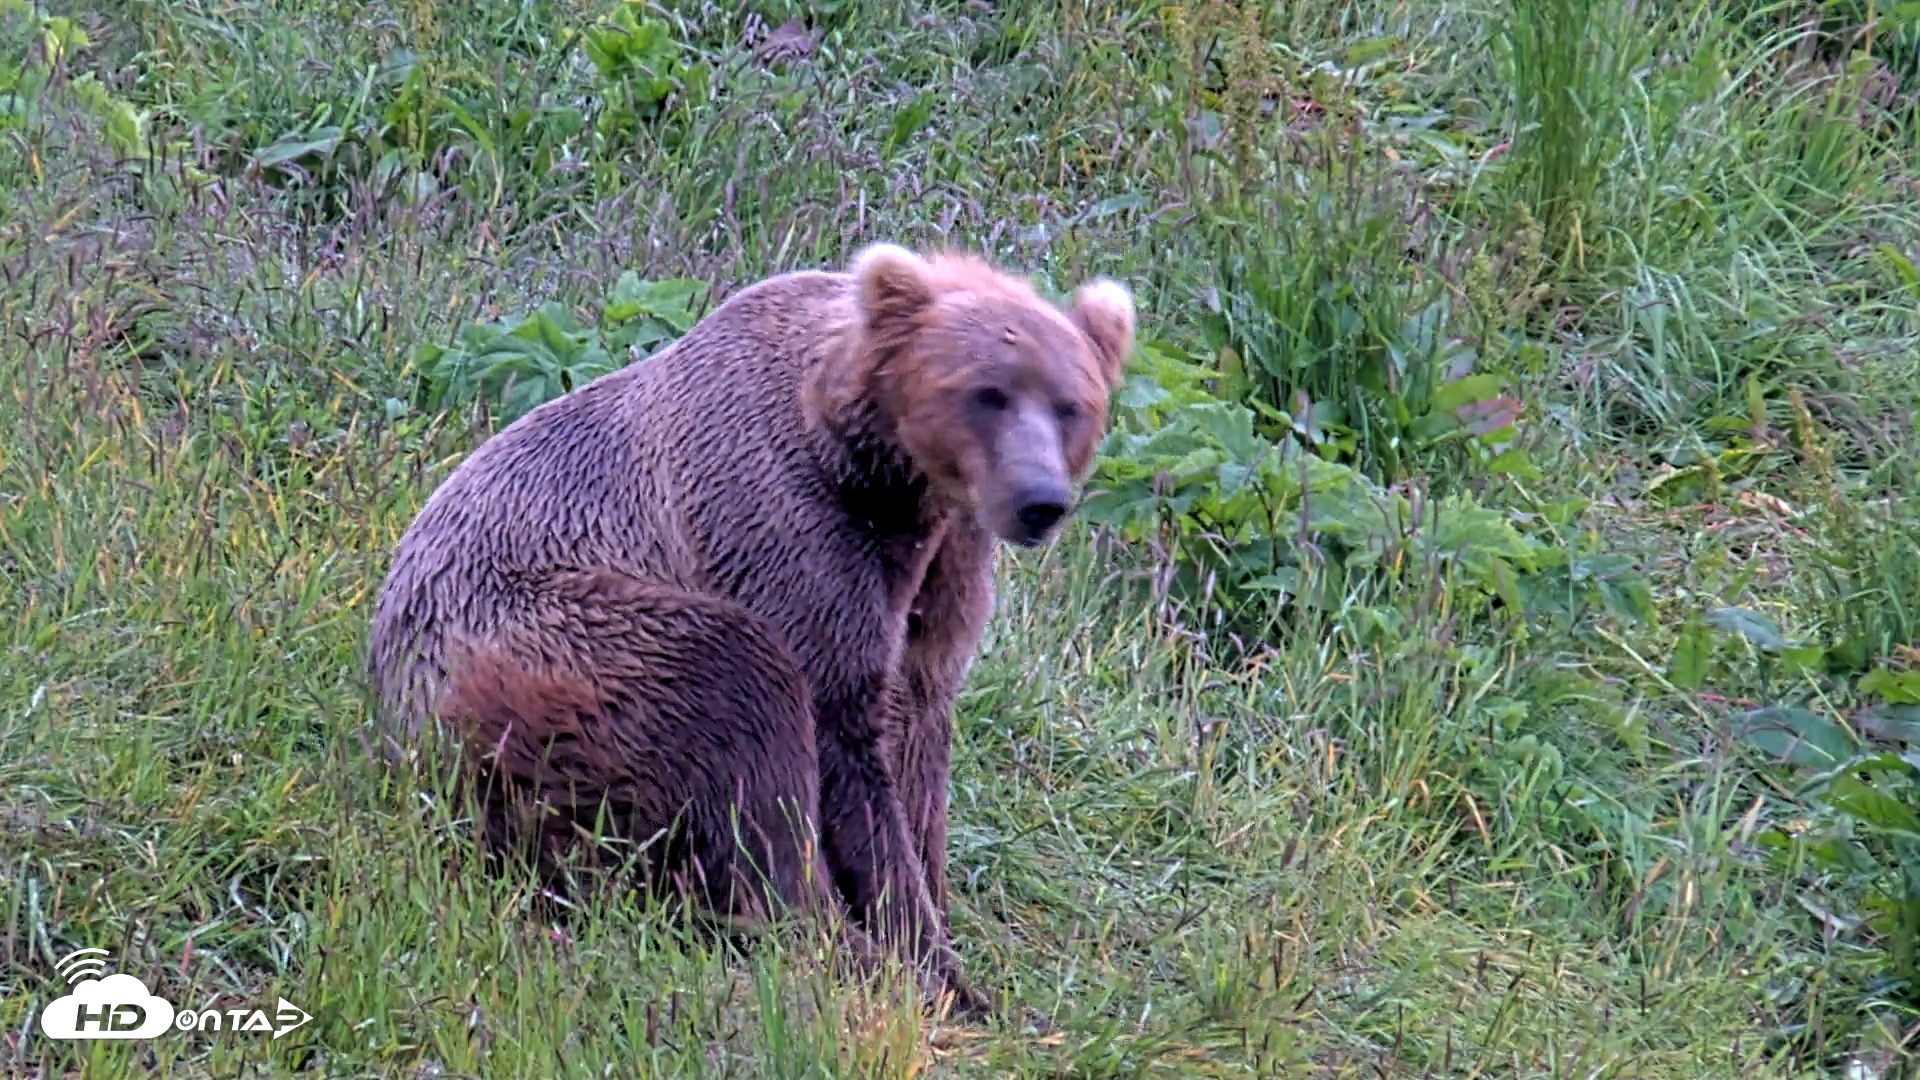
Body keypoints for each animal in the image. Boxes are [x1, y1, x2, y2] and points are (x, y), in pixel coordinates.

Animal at [363, 242, 1137, 1020]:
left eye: (1071, 405)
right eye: (987, 392)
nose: (1040, 501)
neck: (885, 475)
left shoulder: (944, 569)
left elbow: (917, 737)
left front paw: (938, 930)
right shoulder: (787, 522)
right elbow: (840, 731)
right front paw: (926, 963)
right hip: (550, 648)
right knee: (741, 699)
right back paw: (830, 941)